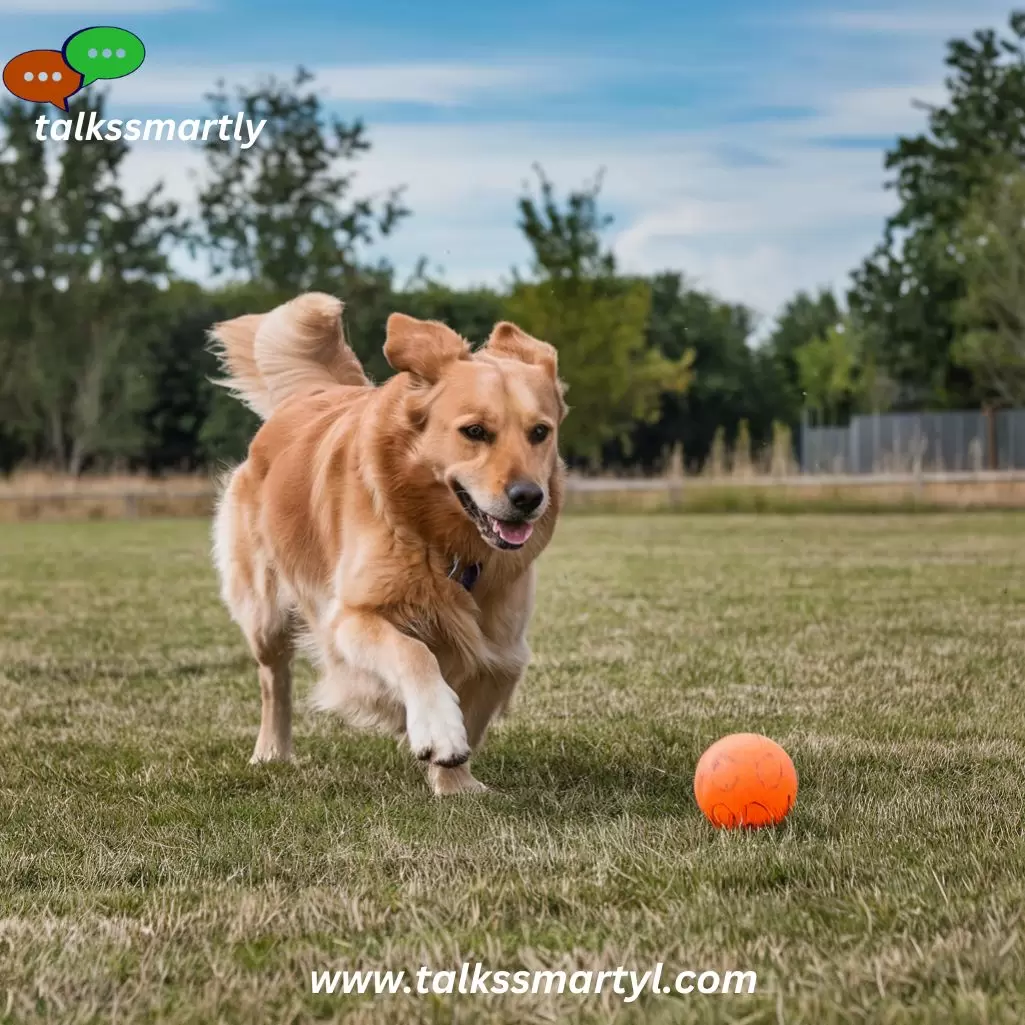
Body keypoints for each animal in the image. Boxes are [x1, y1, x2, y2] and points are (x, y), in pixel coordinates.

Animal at [206, 293, 561, 795]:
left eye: (540, 432)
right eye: (474, 431)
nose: (529, 497)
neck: (443, 542)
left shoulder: (503, 646)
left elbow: (481, 693)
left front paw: (455, 781)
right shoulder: (350, 618)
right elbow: (413, 653)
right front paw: (436, 727)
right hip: (265, 611)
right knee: (274, 680)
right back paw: (271, 751)